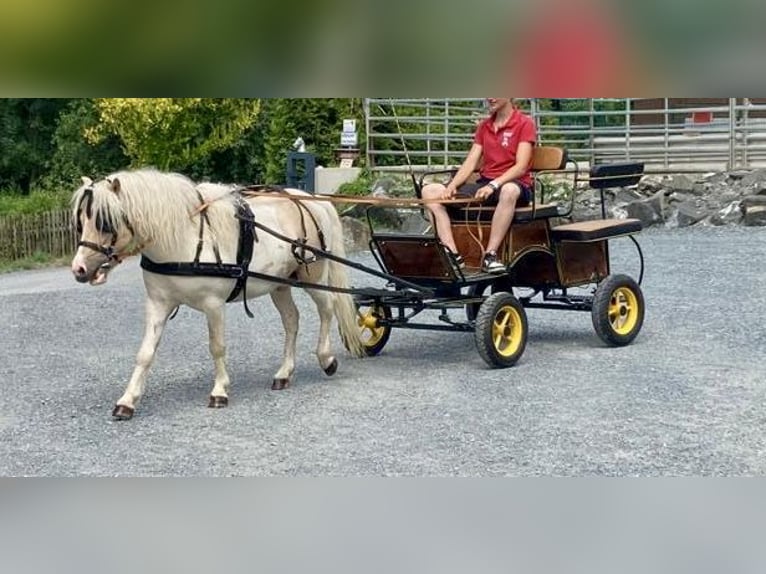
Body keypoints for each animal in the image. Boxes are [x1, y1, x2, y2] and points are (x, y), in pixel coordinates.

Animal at [70, 169, 364, 420]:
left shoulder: (213, 305)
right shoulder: (158, 304)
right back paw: (284, 373)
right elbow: (145, 353)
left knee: (328, 308)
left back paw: (326, 358)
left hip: (312, 277)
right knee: (292, 320)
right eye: (81, 222)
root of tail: (312, 201)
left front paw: (220, 391)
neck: (184, 239)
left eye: (105, 222)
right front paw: (127, 400)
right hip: (279, 285)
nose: (79, 269)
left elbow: (217, 347)